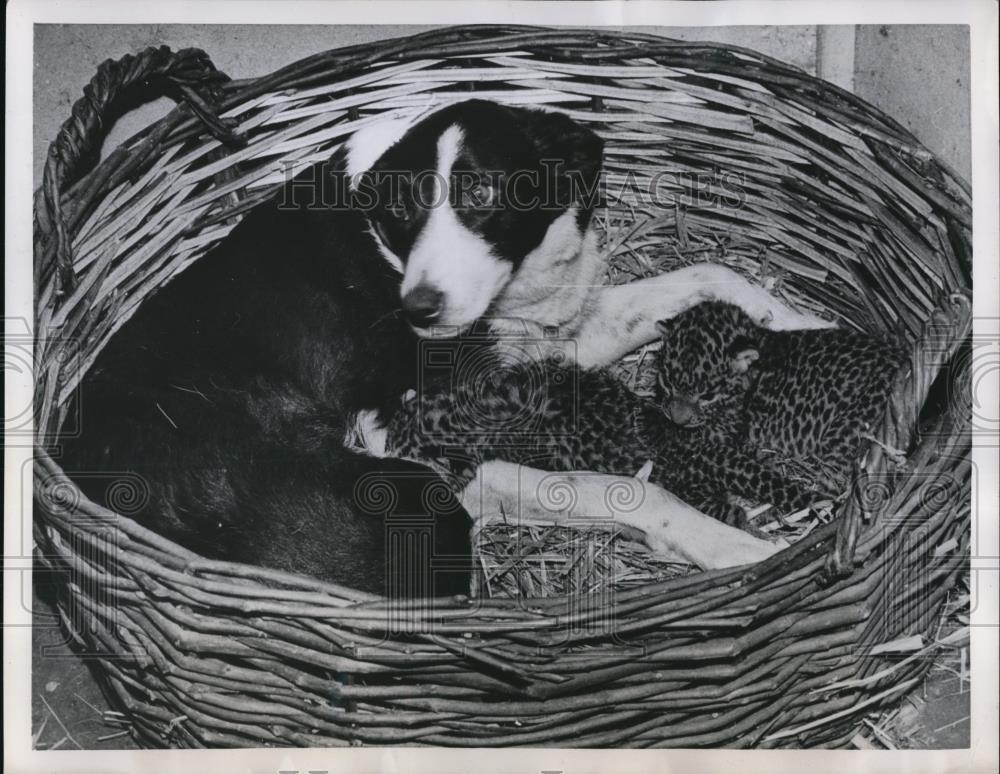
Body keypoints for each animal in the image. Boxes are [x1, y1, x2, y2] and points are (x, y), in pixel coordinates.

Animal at [64, 100, 828, 596]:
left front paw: (797, 324)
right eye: (403, 209)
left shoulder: (537, 350)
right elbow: (626, 491)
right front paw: (737, 546)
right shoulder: (425, 441)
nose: (418, 309)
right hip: (422, 509)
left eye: (482, 190)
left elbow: (707, 276)